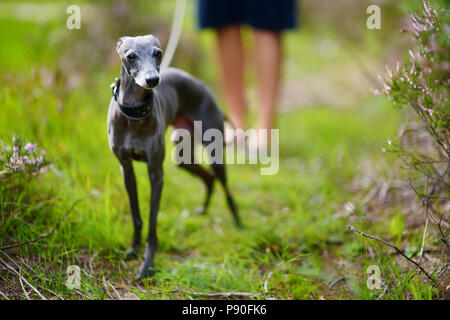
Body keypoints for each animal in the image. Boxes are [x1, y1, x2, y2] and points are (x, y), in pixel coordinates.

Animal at [107, 34, 241, 280]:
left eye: (158, 53)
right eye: (130, 56)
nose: (152, 79)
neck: (134, 115)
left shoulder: (156, 173)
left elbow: (152, 221)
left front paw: (147, 263)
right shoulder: (126, 169)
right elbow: (136, 215)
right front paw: (133, 249)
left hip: (215, 153)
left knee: (225, 187)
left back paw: (239, 222)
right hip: (183, 157)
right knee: (208, 178)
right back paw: (203, 210)